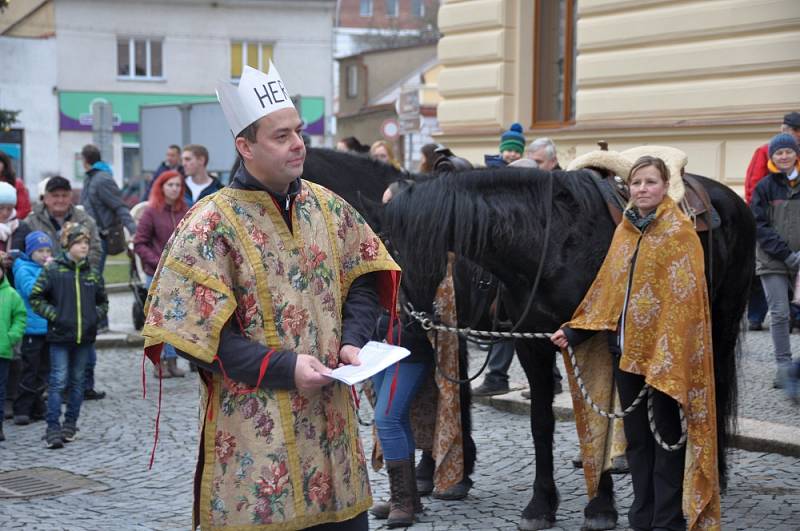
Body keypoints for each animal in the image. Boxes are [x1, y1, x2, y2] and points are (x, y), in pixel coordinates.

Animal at [384, 167, 752, 531]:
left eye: (395, 248)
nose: (404, 322)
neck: (549, 244)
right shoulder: (530, 343)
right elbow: (540, 423)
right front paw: (540, 504)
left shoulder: (595, 341)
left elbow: (595, 422)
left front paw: (600, 506)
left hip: (718, 324)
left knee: (713, 391)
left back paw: (712, 476)